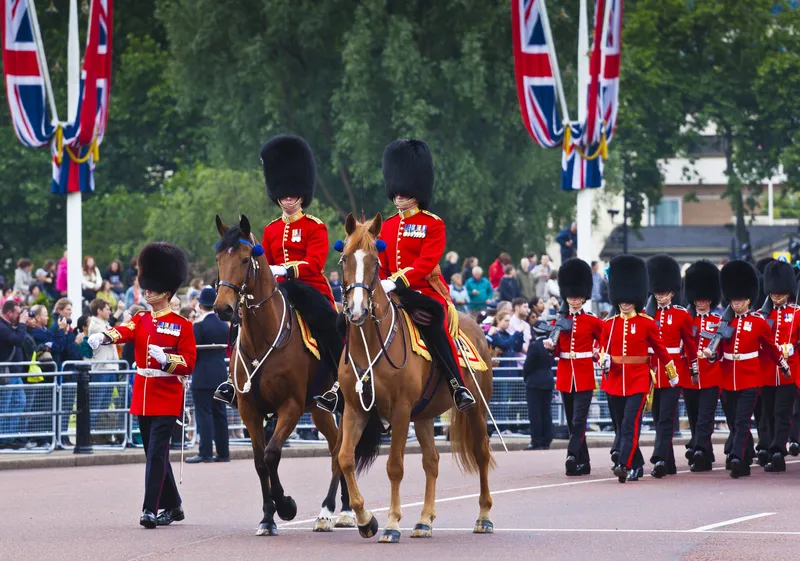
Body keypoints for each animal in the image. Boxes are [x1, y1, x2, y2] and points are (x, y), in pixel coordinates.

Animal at [214, 213, 352, 532]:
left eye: (244, 259)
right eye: (218, 258)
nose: (223, 309)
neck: (262, 338)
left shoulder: (290, 405)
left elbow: (272, 453)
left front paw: (286, 506)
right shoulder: (249, 409)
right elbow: (259, 461)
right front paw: (267, 517)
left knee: (340, 450)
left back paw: (333, 511)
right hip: (318, 409)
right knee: (336, 446)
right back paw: (339, 509)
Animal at [332, 212, 494, 540]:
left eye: (375, 263)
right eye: (344, 259)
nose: (356, 310)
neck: (370, 343)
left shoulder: (401, 410)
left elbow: (394, 465)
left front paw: (392, 523)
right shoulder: (355, 409)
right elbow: (345, 458)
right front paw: (365, 519)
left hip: (476, 409)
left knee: (481, 453)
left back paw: (483, 516)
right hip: (424, 415)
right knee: (431, 461)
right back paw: (423, 521)